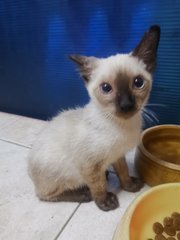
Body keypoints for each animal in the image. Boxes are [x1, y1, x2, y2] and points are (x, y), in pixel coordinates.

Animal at [27, 25, 160, 211]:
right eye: (106, 88)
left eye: (138, 83)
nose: (126, 105)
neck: (121, 126)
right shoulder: (89, 165)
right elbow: (98, 185)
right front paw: (105, 202)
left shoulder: (118, 155)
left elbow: (123, 171)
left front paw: (129, 186)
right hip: (63, 176)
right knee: (45, 195)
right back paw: (83, 194)